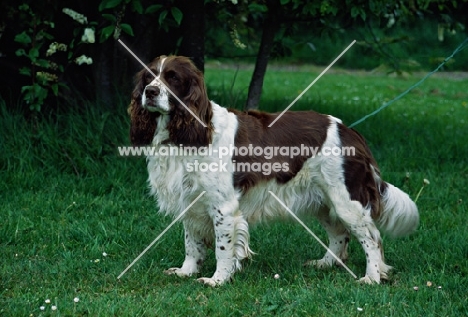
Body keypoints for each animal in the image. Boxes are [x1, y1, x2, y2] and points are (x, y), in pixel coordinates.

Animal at [126, 55, 418, 286]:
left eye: (173, 78)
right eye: (149, 77)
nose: (150, 92)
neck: (185, 134)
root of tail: (350, 132)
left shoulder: (223, 206)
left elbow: (223, 248)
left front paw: (217, 280)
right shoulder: (191, 200)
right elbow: (191, 243)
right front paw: (186, 272)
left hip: (347, 200)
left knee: (371, 238)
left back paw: (373, 277)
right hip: (323, 200)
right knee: (339, 234)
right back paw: (325, 264)